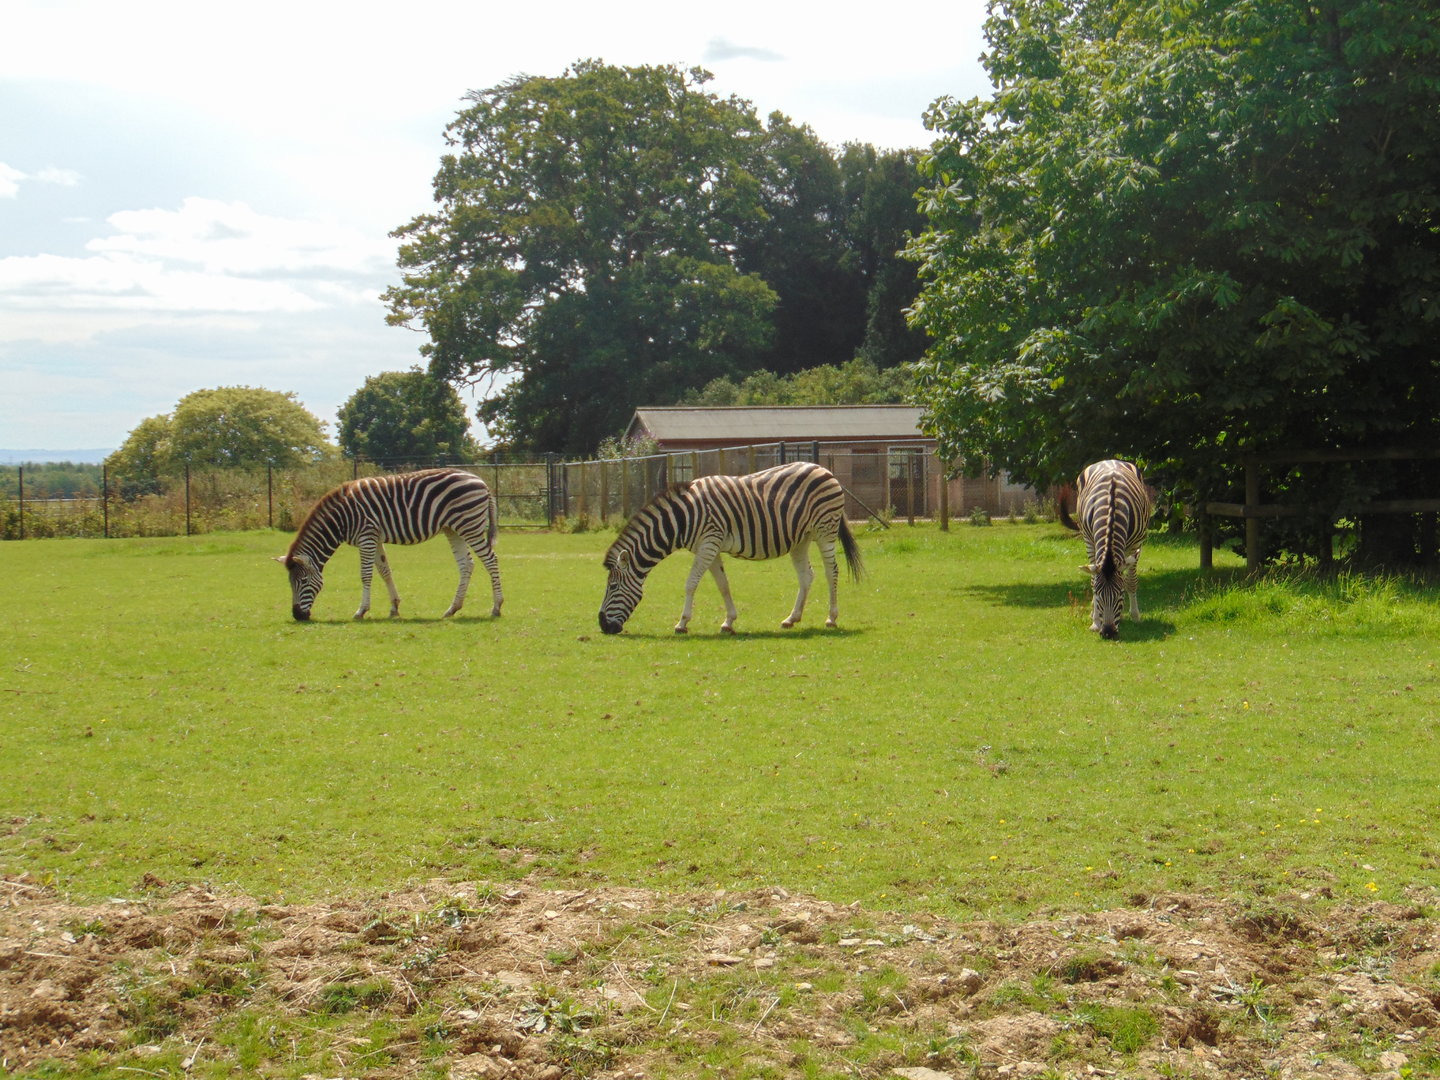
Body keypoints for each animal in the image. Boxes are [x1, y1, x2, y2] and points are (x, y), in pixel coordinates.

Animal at [275, 468, 503, 622]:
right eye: (290, 582)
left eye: (303, 581)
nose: (297, 615)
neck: (341, 519)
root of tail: (482, 482)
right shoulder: (374, 538)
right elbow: (385, 571)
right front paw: (394, 608)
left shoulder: (366, 536)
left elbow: (366, 575)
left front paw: (361, 611)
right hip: (453, 529)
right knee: (467, 565)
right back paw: (452, 609)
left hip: (469, 525)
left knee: (491, 560)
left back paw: (496, 607)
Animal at [598, 461, 864, 635]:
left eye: (613, 587)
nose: (603, 626)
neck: (683, 518)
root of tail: (825, 469)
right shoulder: (710, 547)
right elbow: (723, 585)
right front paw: (728, 622)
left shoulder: (709, 542)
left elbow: (690, 584)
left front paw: (682, 623)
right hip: (801, 538)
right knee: (807, 575)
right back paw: (791, 618)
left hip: (825, 530)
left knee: (831, 571)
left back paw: (831, 618)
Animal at [1057, 459, 1154, 640]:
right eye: (1098, 593)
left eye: (1120, 594)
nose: (1108, 633)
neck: (1112, 507)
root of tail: (1111, 460)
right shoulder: (1089, 541)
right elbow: (1093, 580)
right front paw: (1095, 621)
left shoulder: (1136, 545)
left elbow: (1131, 582)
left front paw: (1135, 616)